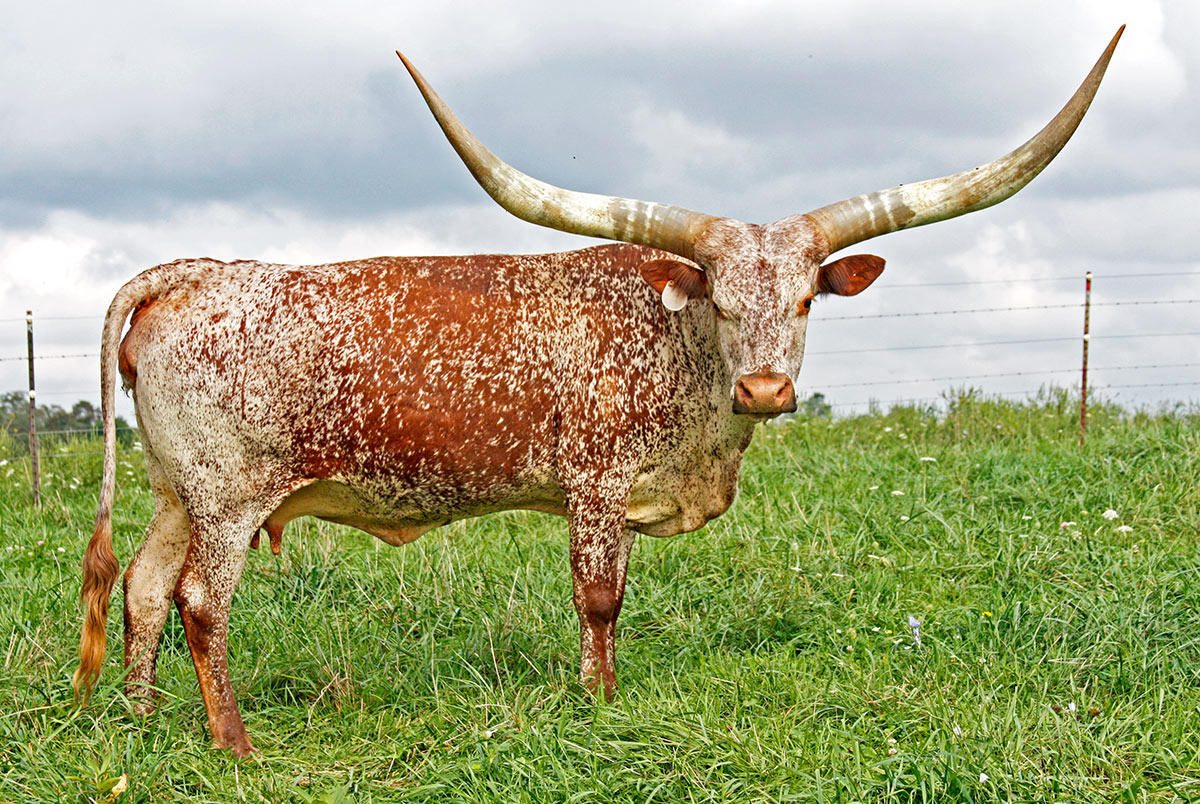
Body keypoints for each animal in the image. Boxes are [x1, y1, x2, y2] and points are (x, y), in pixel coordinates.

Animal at [75, 29, 1122, 757]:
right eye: (721, 300)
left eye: (804, 300)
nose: (766, 387)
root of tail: (186, 274)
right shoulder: (595, 484)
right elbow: (601, 597)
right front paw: (600, 702)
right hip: (229, 494)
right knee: (200, 601)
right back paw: (233, 743)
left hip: (178, 492)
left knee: (142, 588)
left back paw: (141, 719)